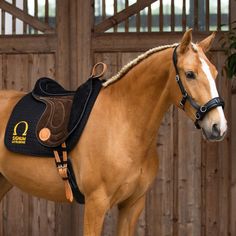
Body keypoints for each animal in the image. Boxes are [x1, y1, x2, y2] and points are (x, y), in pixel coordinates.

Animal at [0, 30, 229, 236]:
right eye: (190, 74)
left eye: (215, 73)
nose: (218, 126)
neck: (124, 123)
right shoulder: (96, 204)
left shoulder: (132, 205)